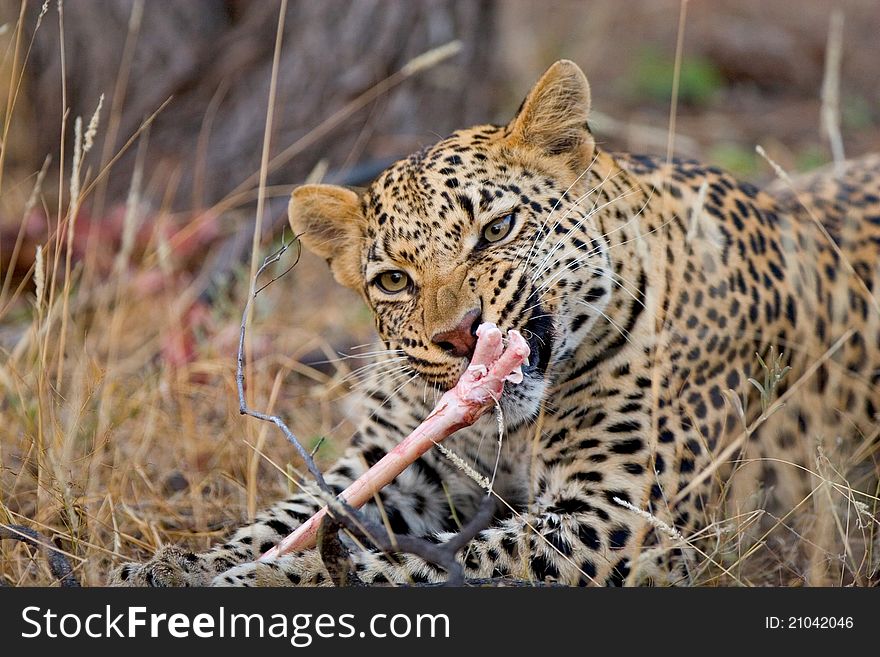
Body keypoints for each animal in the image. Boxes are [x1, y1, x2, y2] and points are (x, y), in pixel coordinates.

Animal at [113, 60, 880, 584]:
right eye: (394, 280)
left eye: (497, 229)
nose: (460, 336)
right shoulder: (404, 464)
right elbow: (299, 514)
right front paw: (176, 565)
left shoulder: (626, 520)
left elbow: (420, 566)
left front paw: (272, 579)